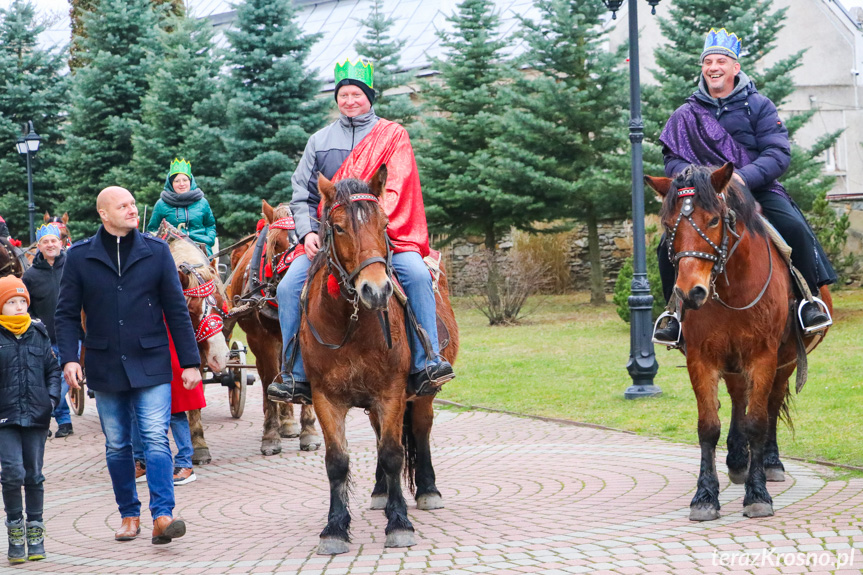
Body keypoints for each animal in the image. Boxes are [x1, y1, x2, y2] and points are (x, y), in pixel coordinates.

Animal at [226, 200, 320, 456]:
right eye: (275, 243)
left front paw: (309, 431)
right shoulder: (261, 341)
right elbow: (269, 378)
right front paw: (270, 436)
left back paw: (288, 421)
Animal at [300, 168, 460, 560]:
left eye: (385, 223)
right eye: (338, 227)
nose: (376, 290)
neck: (350, 322)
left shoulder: (391, 392)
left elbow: (392, 453)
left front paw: (399, 523)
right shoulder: (325, 397)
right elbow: (337, 461)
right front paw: (335, 528)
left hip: (422, 394)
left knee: (420, 429)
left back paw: (427, 490)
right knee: (376, 435)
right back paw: (380, 492)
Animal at [648, 162, 832, 520]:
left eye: (714, 220)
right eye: (668, 224)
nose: (690, 292)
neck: (730, 288)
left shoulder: (763, 357)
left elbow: (758, 422)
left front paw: (757, 494)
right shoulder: (702, 358)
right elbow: (709, 426)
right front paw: (705, 497)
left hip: (785, 360)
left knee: (771, 405)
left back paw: (771, 463)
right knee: (737, 398)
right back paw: (736, 460)